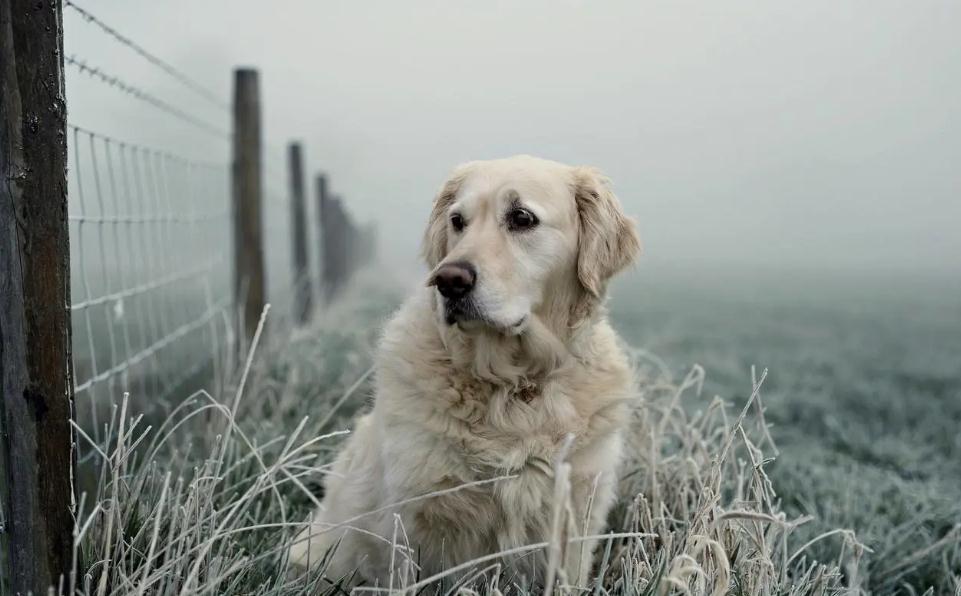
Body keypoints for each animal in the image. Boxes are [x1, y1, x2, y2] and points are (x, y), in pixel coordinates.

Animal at [288, 156, 640, 588]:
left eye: (521, 217)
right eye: (458, 221)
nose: (448, 280)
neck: (514, 385)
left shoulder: (576, 509)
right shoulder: (414, 520)